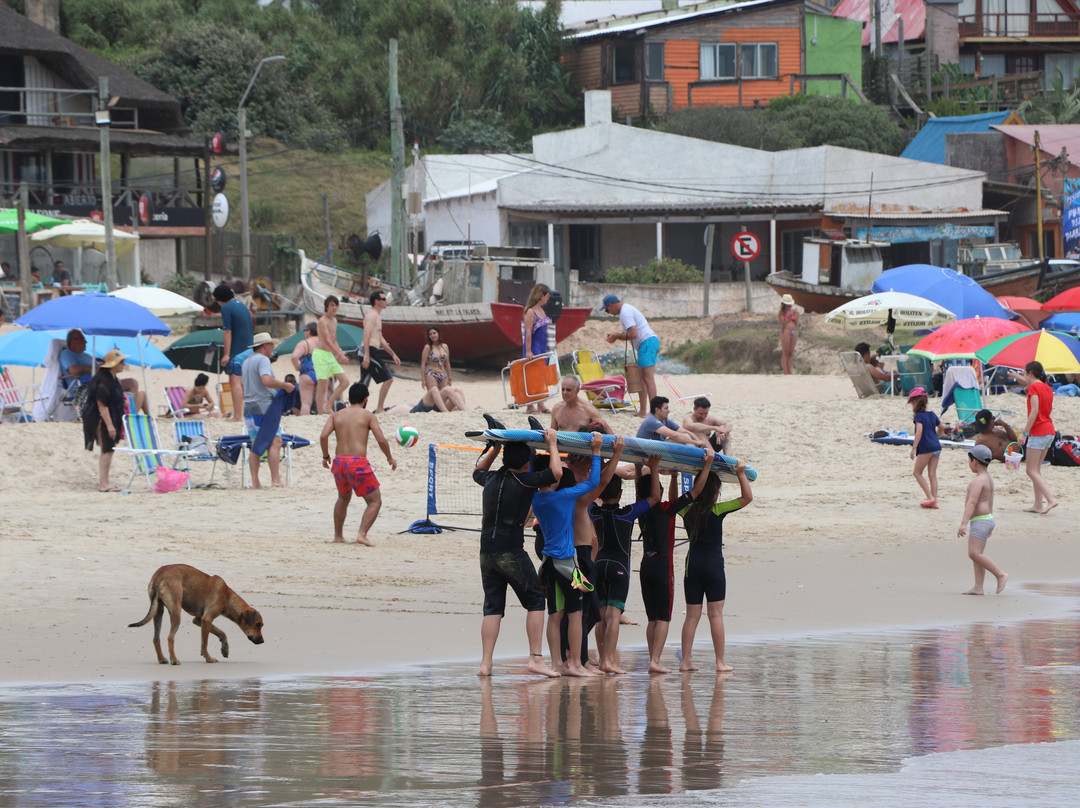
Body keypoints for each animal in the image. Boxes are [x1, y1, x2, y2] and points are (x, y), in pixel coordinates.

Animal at [129, 566, 265, 665]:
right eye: (258, 624)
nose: (262, 641)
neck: (228, 597)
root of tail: (158, 575)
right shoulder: (206, 619)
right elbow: (205, 644)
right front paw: (209, 658)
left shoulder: (199, 620)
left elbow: (221, 633)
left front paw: (225, 648)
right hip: (176, 612)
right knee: (170, 637)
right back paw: (174, 659)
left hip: (158, 611)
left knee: (156, 638)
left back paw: (162, 659)